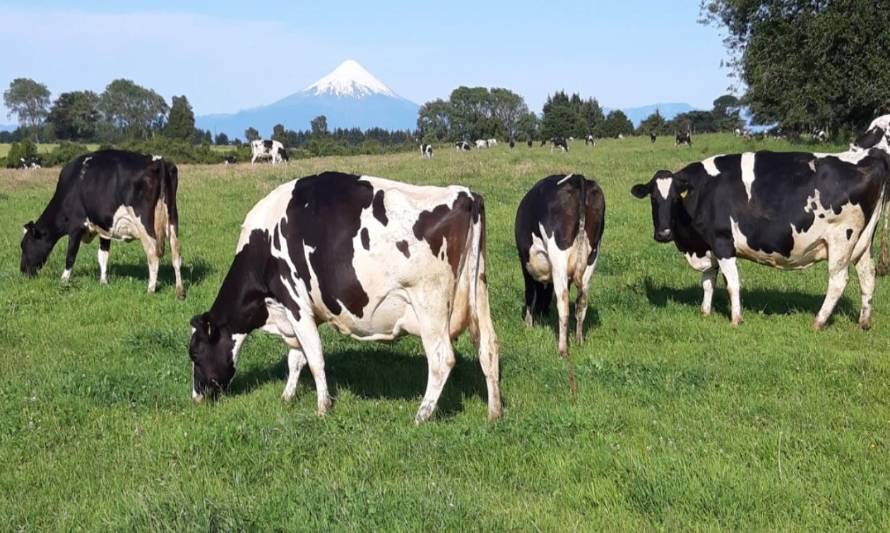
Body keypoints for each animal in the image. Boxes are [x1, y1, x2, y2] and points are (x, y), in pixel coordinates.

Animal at [19, 151, 184, 300]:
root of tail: (158, 160)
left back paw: (150, 289)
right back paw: (180, 291)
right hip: (173, 219)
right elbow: (103, 255)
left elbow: (70, 256)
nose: (23, 271)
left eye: (24, 245)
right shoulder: (104, 227)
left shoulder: (76, 227)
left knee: (153, 255)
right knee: (176, 255)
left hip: (145, 226)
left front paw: (63, 281)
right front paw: (103, 281)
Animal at [186, 172, 500, 422]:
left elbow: (314, 358)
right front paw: (287, 397)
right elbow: (296, 358)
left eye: (195, 353)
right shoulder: (298, 312)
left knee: (441, 358)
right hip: (479, 289)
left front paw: (322, 408)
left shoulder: (296, 303)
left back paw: (421, 415)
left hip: (429, 302)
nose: (196, 397)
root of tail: (466, 194)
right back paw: (494, 412)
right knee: (488, 348)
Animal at [512, 176, 604, 358]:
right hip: (592, 258)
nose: (542, 313)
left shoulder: (525, 264)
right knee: (582, 303)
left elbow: (529, 294)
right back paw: (579, 341)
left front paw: (528, 325)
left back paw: (563, 349)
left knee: (563, 302)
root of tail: (579, 178)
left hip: (558, 257)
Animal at [628, 115, 888, 328]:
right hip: (862, 242)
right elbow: (708, 281)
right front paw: (705, 312)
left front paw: (735, 319)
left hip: (841, 239)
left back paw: (819, 321)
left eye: (674, 197)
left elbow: (732, 283)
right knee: (867, 274)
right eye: (653, 197)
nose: (663, 233)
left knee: (838, 280)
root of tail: (869, 157)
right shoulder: (709, 245)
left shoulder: (722, 242)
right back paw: (864, 322)